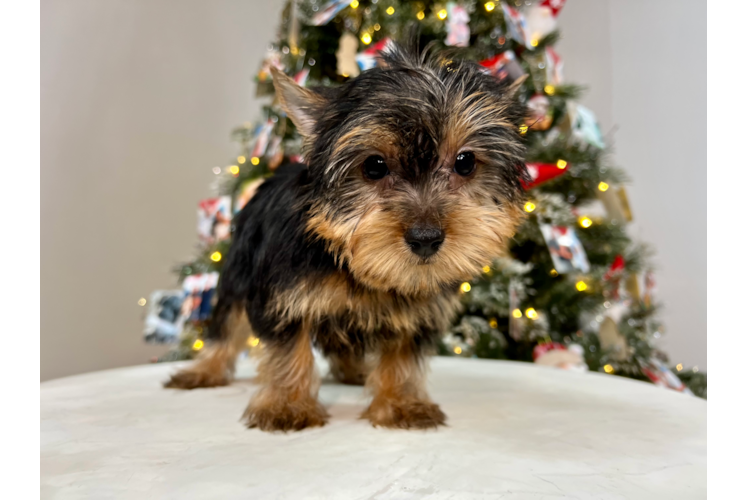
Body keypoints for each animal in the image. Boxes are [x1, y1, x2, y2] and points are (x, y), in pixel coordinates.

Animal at [165, 43, 524, 432]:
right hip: (237, 268)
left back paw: (354, 371)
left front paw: (400, 402)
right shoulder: (282, 295)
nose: (426, 237)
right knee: (226, 324)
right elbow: (288, 349)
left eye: (465, 163)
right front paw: (287, 405)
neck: (354, 264)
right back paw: (204, 370)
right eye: (374, 166)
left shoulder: (420, 307)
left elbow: (404, 354)